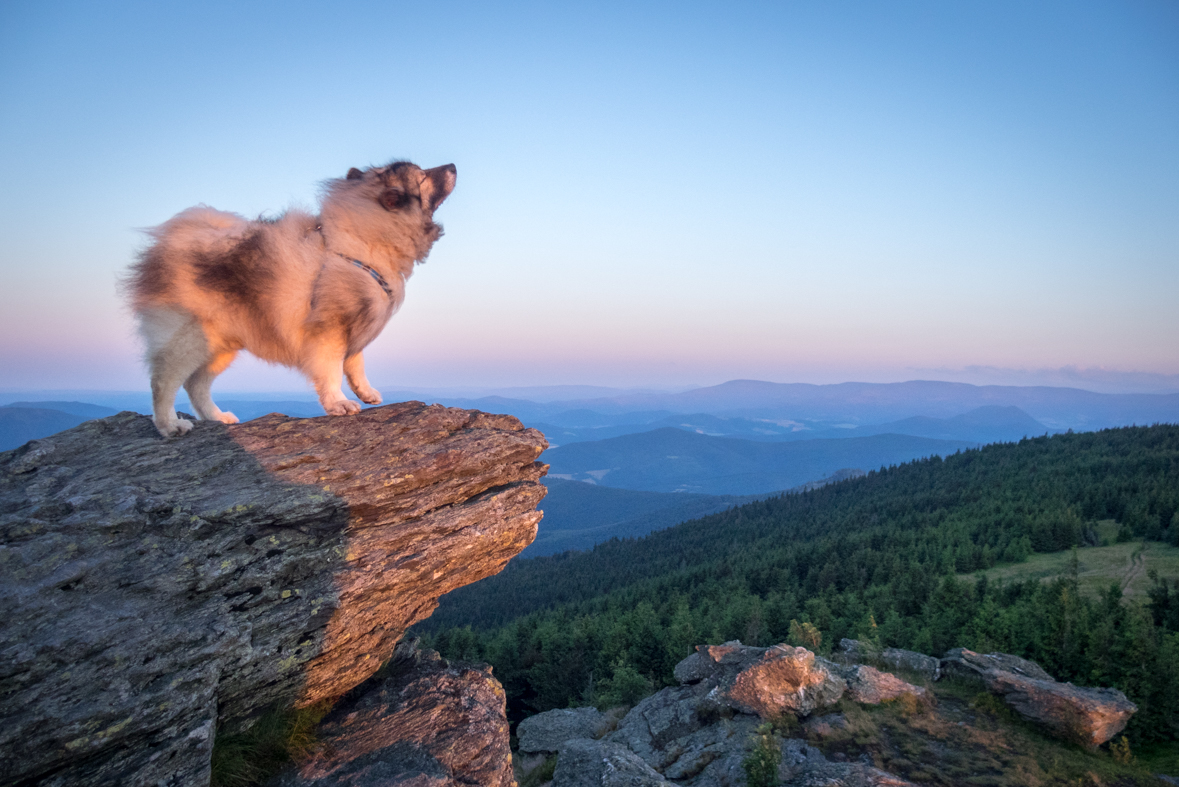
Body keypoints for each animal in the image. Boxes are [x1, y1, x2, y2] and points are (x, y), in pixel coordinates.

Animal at [125, 156, 455, 433]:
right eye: (423, 176)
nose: (452, 165)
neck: (363, 245)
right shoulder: (329, 331)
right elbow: (331, 370)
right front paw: (339, 403)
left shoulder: (354, 326)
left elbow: (356, 364)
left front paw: (366, 391)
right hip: (187, 338)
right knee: (164, 382)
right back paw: (170, 426)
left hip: (220, 345)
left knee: (196, 384)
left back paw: (217, 417)